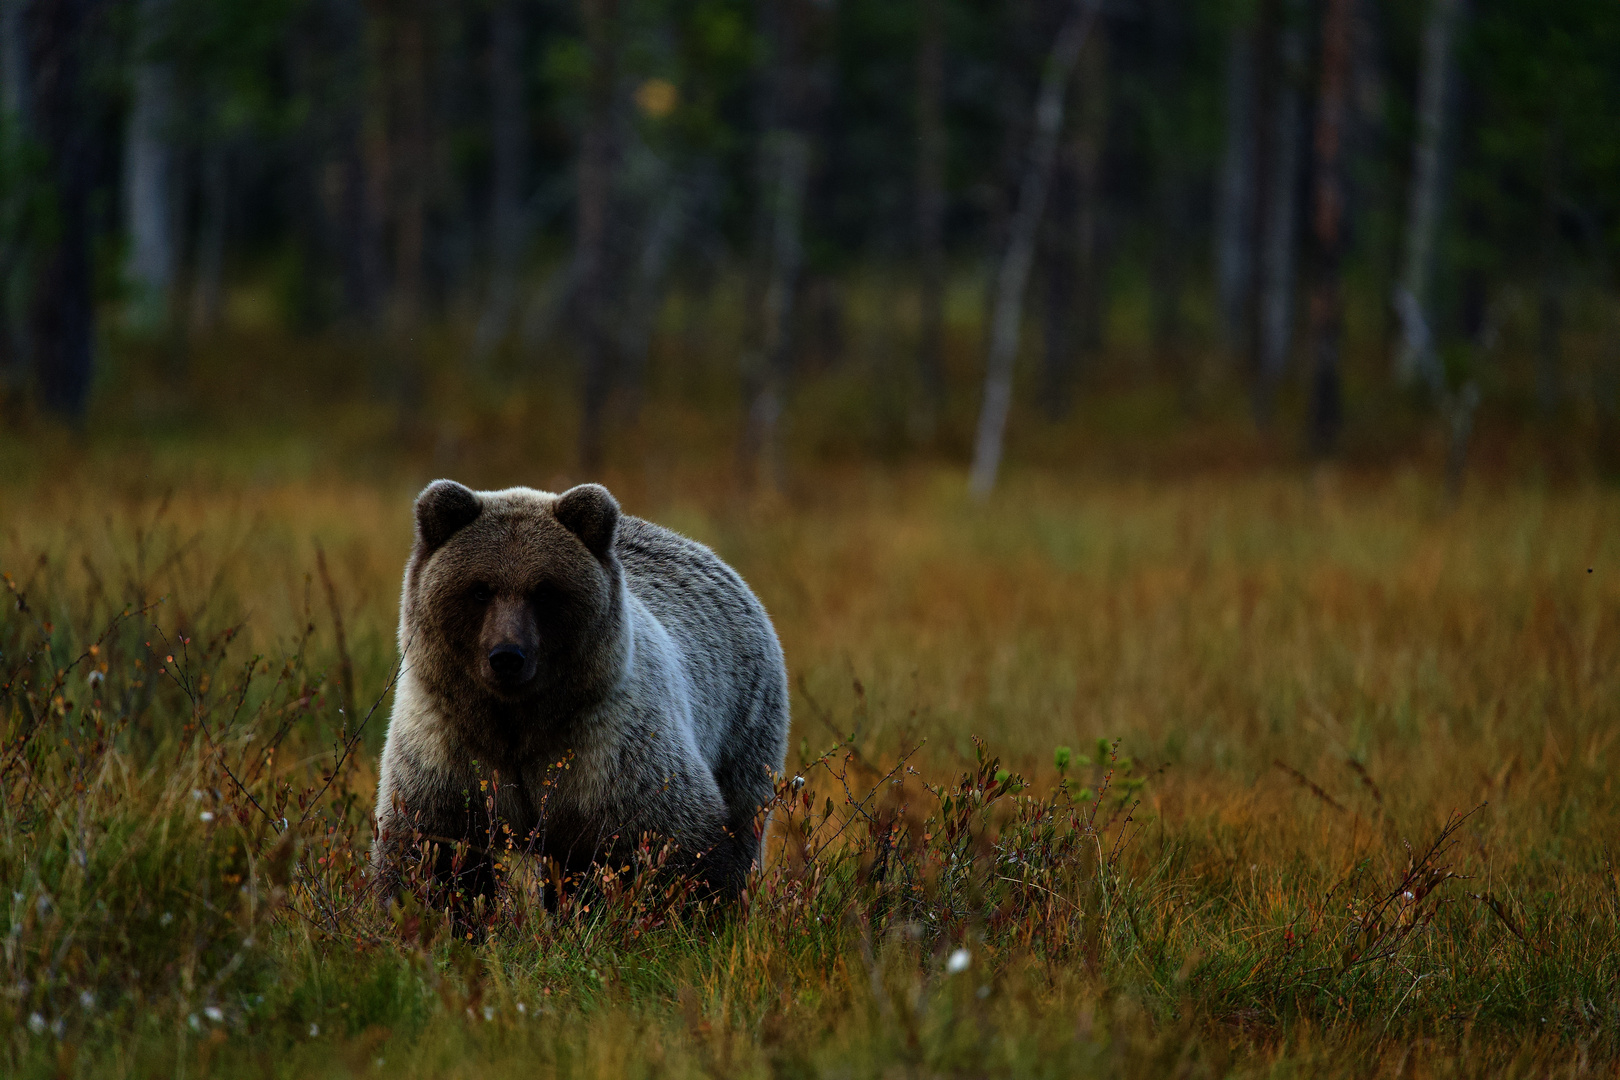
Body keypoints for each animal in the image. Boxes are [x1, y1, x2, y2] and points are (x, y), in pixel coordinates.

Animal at [372, 482, 790, 913]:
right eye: (480, 589)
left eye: (544, 591)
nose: (507, 656)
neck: (517, 723)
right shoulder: (447, 749)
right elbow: (429, 851)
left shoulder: (608, 750)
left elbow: (674, 840)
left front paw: (695, 906)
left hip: (744, 721)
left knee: (743, 815)